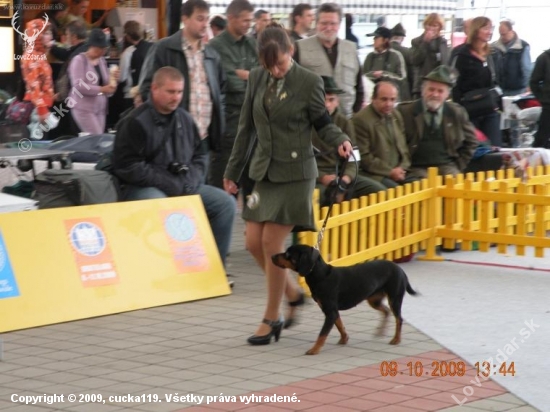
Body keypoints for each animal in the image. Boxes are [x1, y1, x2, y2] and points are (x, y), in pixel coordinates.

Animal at [274, 245, 420, 354]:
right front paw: (344, 339)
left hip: (394, 299)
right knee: (386, 311)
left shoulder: (330, 312)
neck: (320, 275)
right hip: (374, 300)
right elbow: (340, 325)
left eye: (288, 255)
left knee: (399, 318)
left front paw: (314, 350)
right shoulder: (332, 311)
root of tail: (401, 270)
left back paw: (396, 339)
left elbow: (322, 334)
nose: (272, 256)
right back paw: (380, 332)